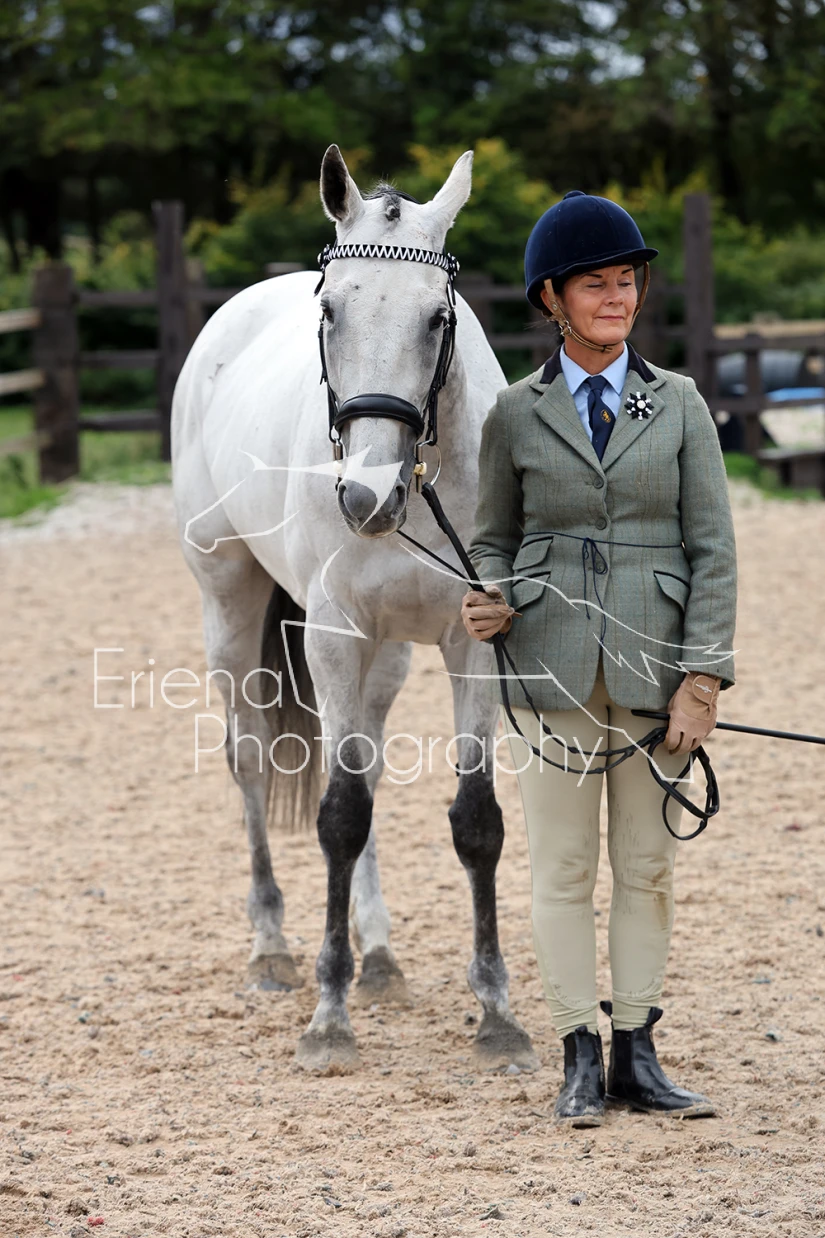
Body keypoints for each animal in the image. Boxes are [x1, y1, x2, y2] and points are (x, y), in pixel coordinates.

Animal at [171, 144, 537, 1073]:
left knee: (363, 759)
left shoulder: (468, 642)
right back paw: (272, 950)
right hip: (229, 606)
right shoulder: (332, 634)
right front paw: (328, 1021)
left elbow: (473, 821)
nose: (366, 498)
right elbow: (337, 815)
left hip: (388, 656)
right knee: (249, 759)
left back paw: (377, 957)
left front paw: (497, 1016)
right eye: (330, 311)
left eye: (437, 320)